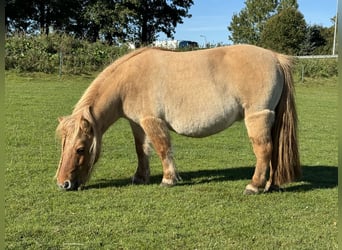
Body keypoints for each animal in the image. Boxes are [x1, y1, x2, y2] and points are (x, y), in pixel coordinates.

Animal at [55, 44, 300, 193]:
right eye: (62, 146)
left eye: (80, 149)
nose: (62, 183)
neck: (128, 81)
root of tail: (275, 57)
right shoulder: (137, 123)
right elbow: (141, 150)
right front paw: (140, 177)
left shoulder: (152, 121)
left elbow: (163, 149)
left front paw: (168, 179)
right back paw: (271, 185)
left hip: (257, 117)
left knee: (264, 151)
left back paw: (254, 186)